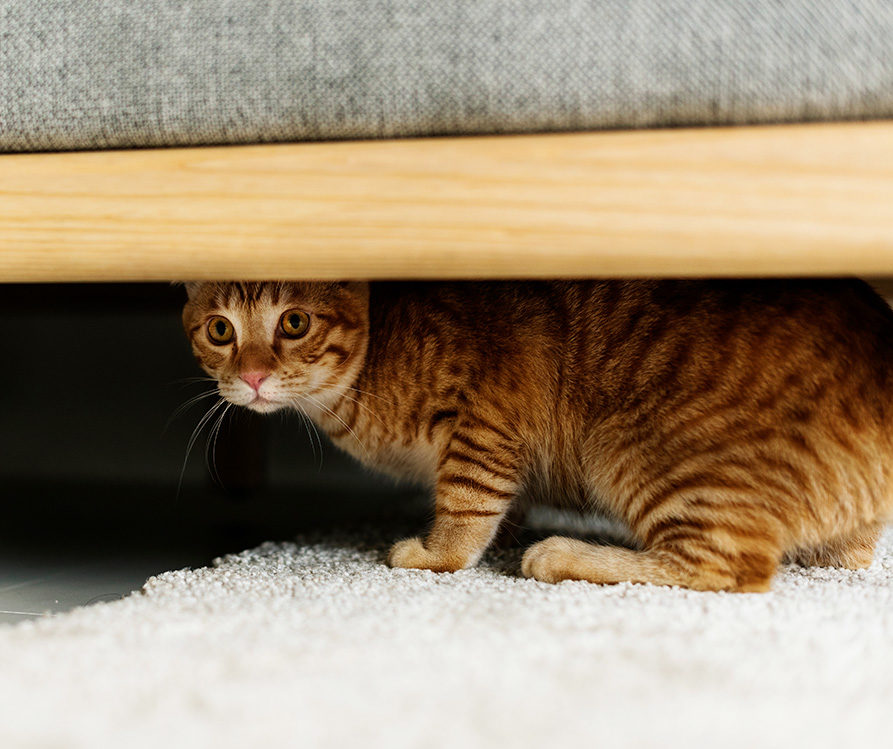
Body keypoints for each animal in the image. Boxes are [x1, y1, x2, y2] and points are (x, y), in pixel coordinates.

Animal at [181, 280, 892, 592]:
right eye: (219, 330)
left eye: (293, 322)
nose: (252, 376)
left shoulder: (486, 420)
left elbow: (465, 507)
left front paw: (436, 554)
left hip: (636, 451)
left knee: (723, 566)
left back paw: (566, 556)